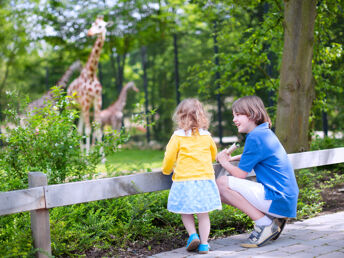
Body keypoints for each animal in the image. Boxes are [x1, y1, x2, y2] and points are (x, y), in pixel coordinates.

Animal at [66, 16, 111, 152]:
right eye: (92, 25)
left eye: (101, 26)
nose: (89, 33)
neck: (91, 74)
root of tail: (68, 88)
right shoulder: (86, 102)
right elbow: (88, 130)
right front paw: (88, 155)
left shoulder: (97, 101)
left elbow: (97, 129)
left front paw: (101, 156)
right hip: (71, 106)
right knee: (69, 128)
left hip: (80, 109)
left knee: (79, 130)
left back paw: (81, 154)